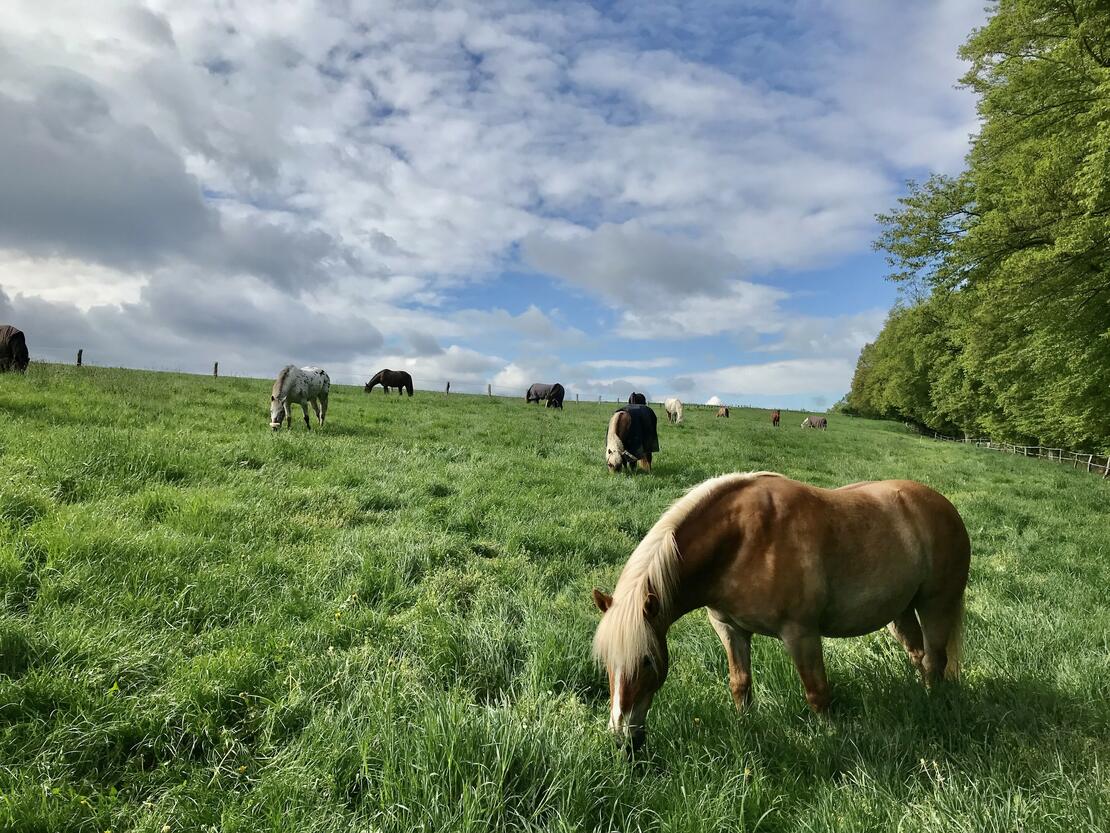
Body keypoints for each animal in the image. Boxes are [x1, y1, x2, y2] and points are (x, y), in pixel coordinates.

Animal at [591, 472, 970, 751]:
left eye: (647, 661)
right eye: (608, 662)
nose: (623, 738)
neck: (740, 541)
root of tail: (944, 505)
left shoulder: (801, 634)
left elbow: (817, 692)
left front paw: (830, 739)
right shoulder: (731, 629)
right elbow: (740, 684)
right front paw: (746, 726)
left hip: (936, 605)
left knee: (935, 661)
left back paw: (931, 707)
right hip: (900, 612)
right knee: (919, 656)